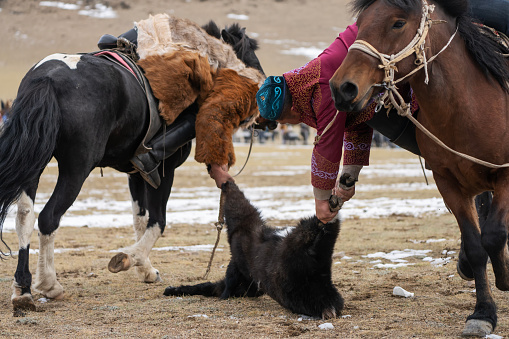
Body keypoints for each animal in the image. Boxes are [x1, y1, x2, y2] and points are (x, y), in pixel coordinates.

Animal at [330, 0, 508, 338]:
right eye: (360, 24)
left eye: (398, 23)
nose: (341, 88)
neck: (467, 107)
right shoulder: (448, 183)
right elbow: (476, 245)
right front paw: (482, 312)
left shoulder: (505, 175)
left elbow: (493, 235)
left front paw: (503, 283)